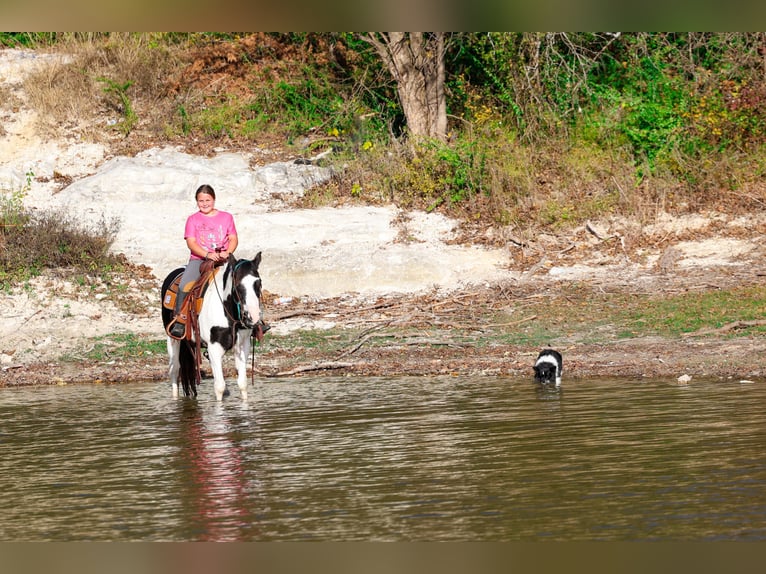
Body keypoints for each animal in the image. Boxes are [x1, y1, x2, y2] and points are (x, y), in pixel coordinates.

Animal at [161, 252, 264, 401]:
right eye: (238, 284)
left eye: (258, 283)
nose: (253, 317)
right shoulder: (214, 347)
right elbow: (219, 387)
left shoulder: (243, 346)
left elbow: (242, 384)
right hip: (173, 339)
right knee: (174, 371)